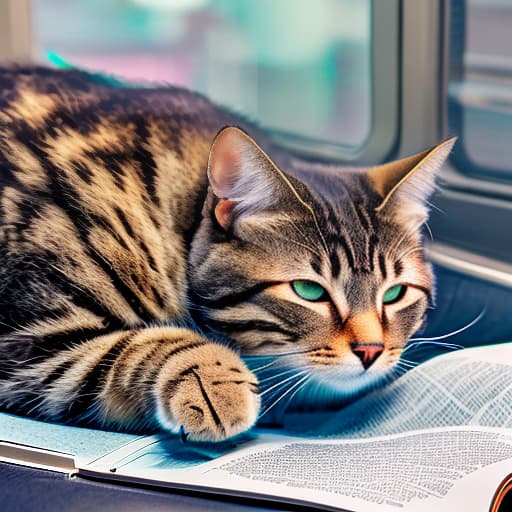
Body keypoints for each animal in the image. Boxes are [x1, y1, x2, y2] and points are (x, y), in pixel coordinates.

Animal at [0, 66, 456, 442]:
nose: (371, 351)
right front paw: (214, 381)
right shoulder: (33, 340)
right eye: (308, 291)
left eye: (395, 293)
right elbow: (144, 344)